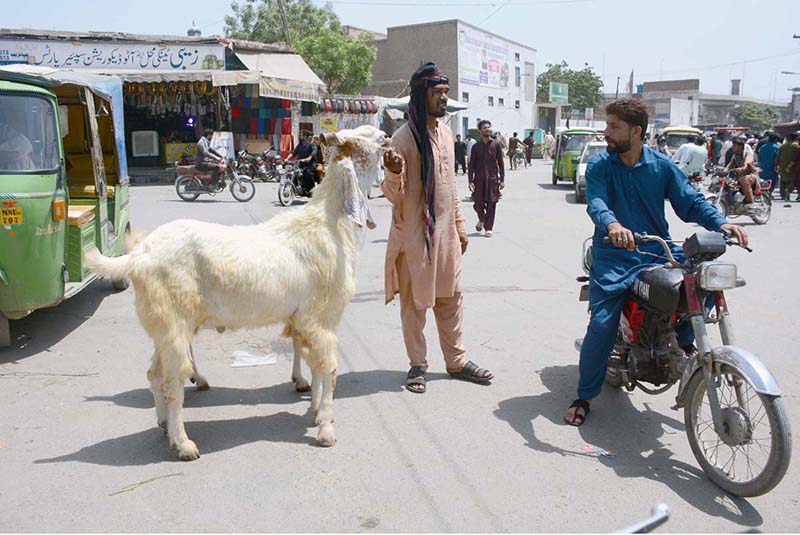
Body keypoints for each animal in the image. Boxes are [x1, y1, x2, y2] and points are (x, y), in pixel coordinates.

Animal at [85, 126, 388, 460]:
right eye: (360, 138)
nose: (387, 136)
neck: (329, 224)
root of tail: (140, 256)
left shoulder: (307, 320)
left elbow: (316, 366)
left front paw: (315, 410)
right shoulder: (320, 317)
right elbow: (329, 369)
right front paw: (326, 429)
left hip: (164, 327)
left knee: (154, 374)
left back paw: (164, 424)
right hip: (174, 323)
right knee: (172, 382)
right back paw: (183, 443)